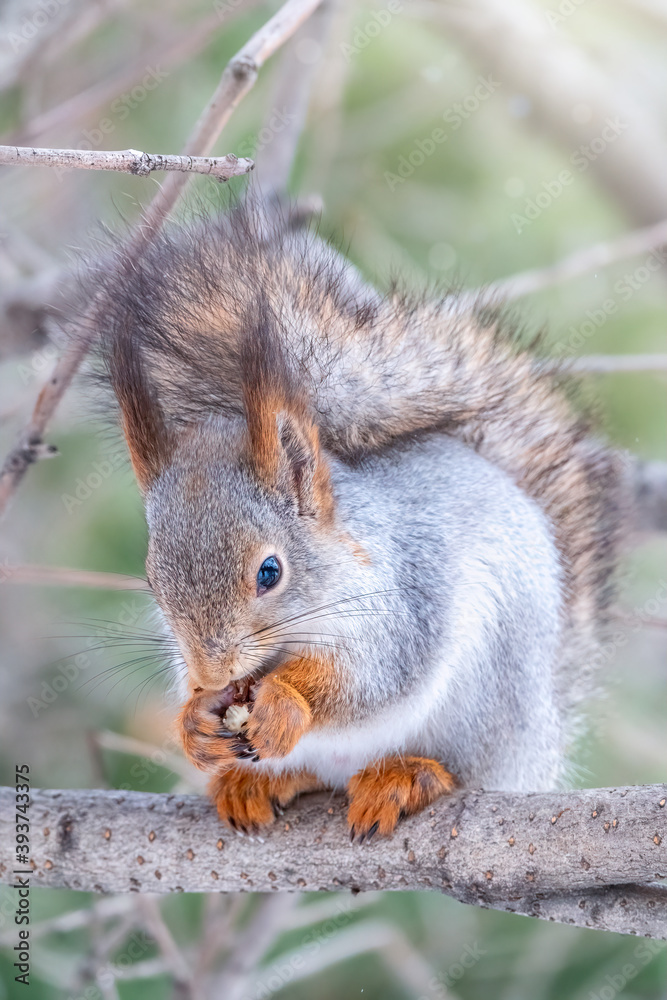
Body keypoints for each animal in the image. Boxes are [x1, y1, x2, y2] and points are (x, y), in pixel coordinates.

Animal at [94, 199, 628, 840]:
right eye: (152, 580)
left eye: (270, 572)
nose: (215, 669)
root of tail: (537, 751)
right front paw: (194, 718)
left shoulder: (404, 601)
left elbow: (371, 680)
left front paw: (285, 704)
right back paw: (257, 782)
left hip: (486, 699)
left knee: (458, 768)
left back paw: (408, 775)